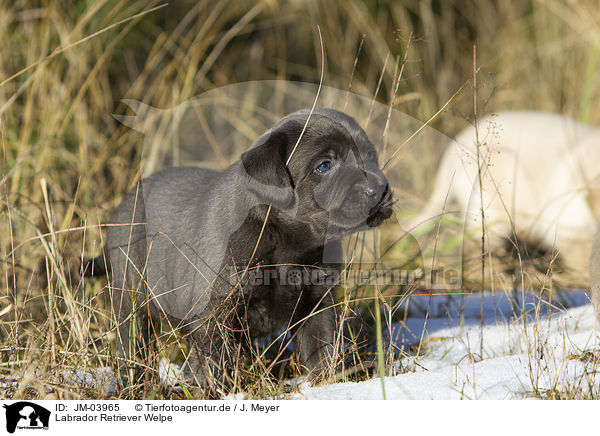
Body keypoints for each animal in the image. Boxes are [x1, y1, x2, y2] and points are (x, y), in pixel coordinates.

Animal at [86, 109, 392, 392]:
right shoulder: (213, 313)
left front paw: (327, 386)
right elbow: (215, 362)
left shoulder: (317, 303)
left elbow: (322, 351)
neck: (286, 241)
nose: (380, 189)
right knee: (133, 345)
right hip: (131, 297)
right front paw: (222, 394)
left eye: (370, 155)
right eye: (325, 165)